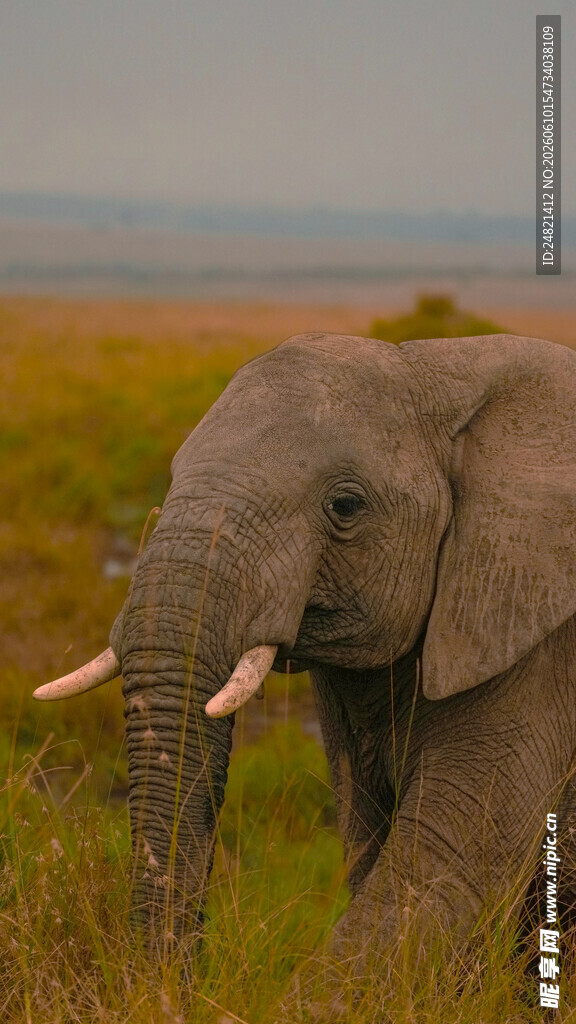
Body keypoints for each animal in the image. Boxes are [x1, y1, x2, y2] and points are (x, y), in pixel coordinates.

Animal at [34, 331, 576, 1007]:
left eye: (345, 505)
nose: (167, 990)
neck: (438, 369)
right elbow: (371, 842)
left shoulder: (534, 635)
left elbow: (445, 855)